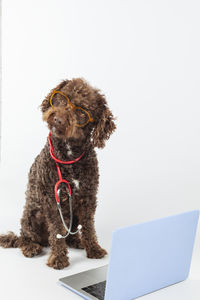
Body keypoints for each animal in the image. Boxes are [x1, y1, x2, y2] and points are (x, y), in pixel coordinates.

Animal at [0, 77, 116, 270]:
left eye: (82, 111)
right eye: (62, 98)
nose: (57, 118)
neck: (69, 155)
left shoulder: (88, 197)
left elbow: (89, 227)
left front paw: (93, 248)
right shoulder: (51, 200)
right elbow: (55, 231)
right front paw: (58, 258)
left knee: (71, 233)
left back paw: (76, 241)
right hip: (32, 214)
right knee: (26, 237)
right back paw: (30, 247)